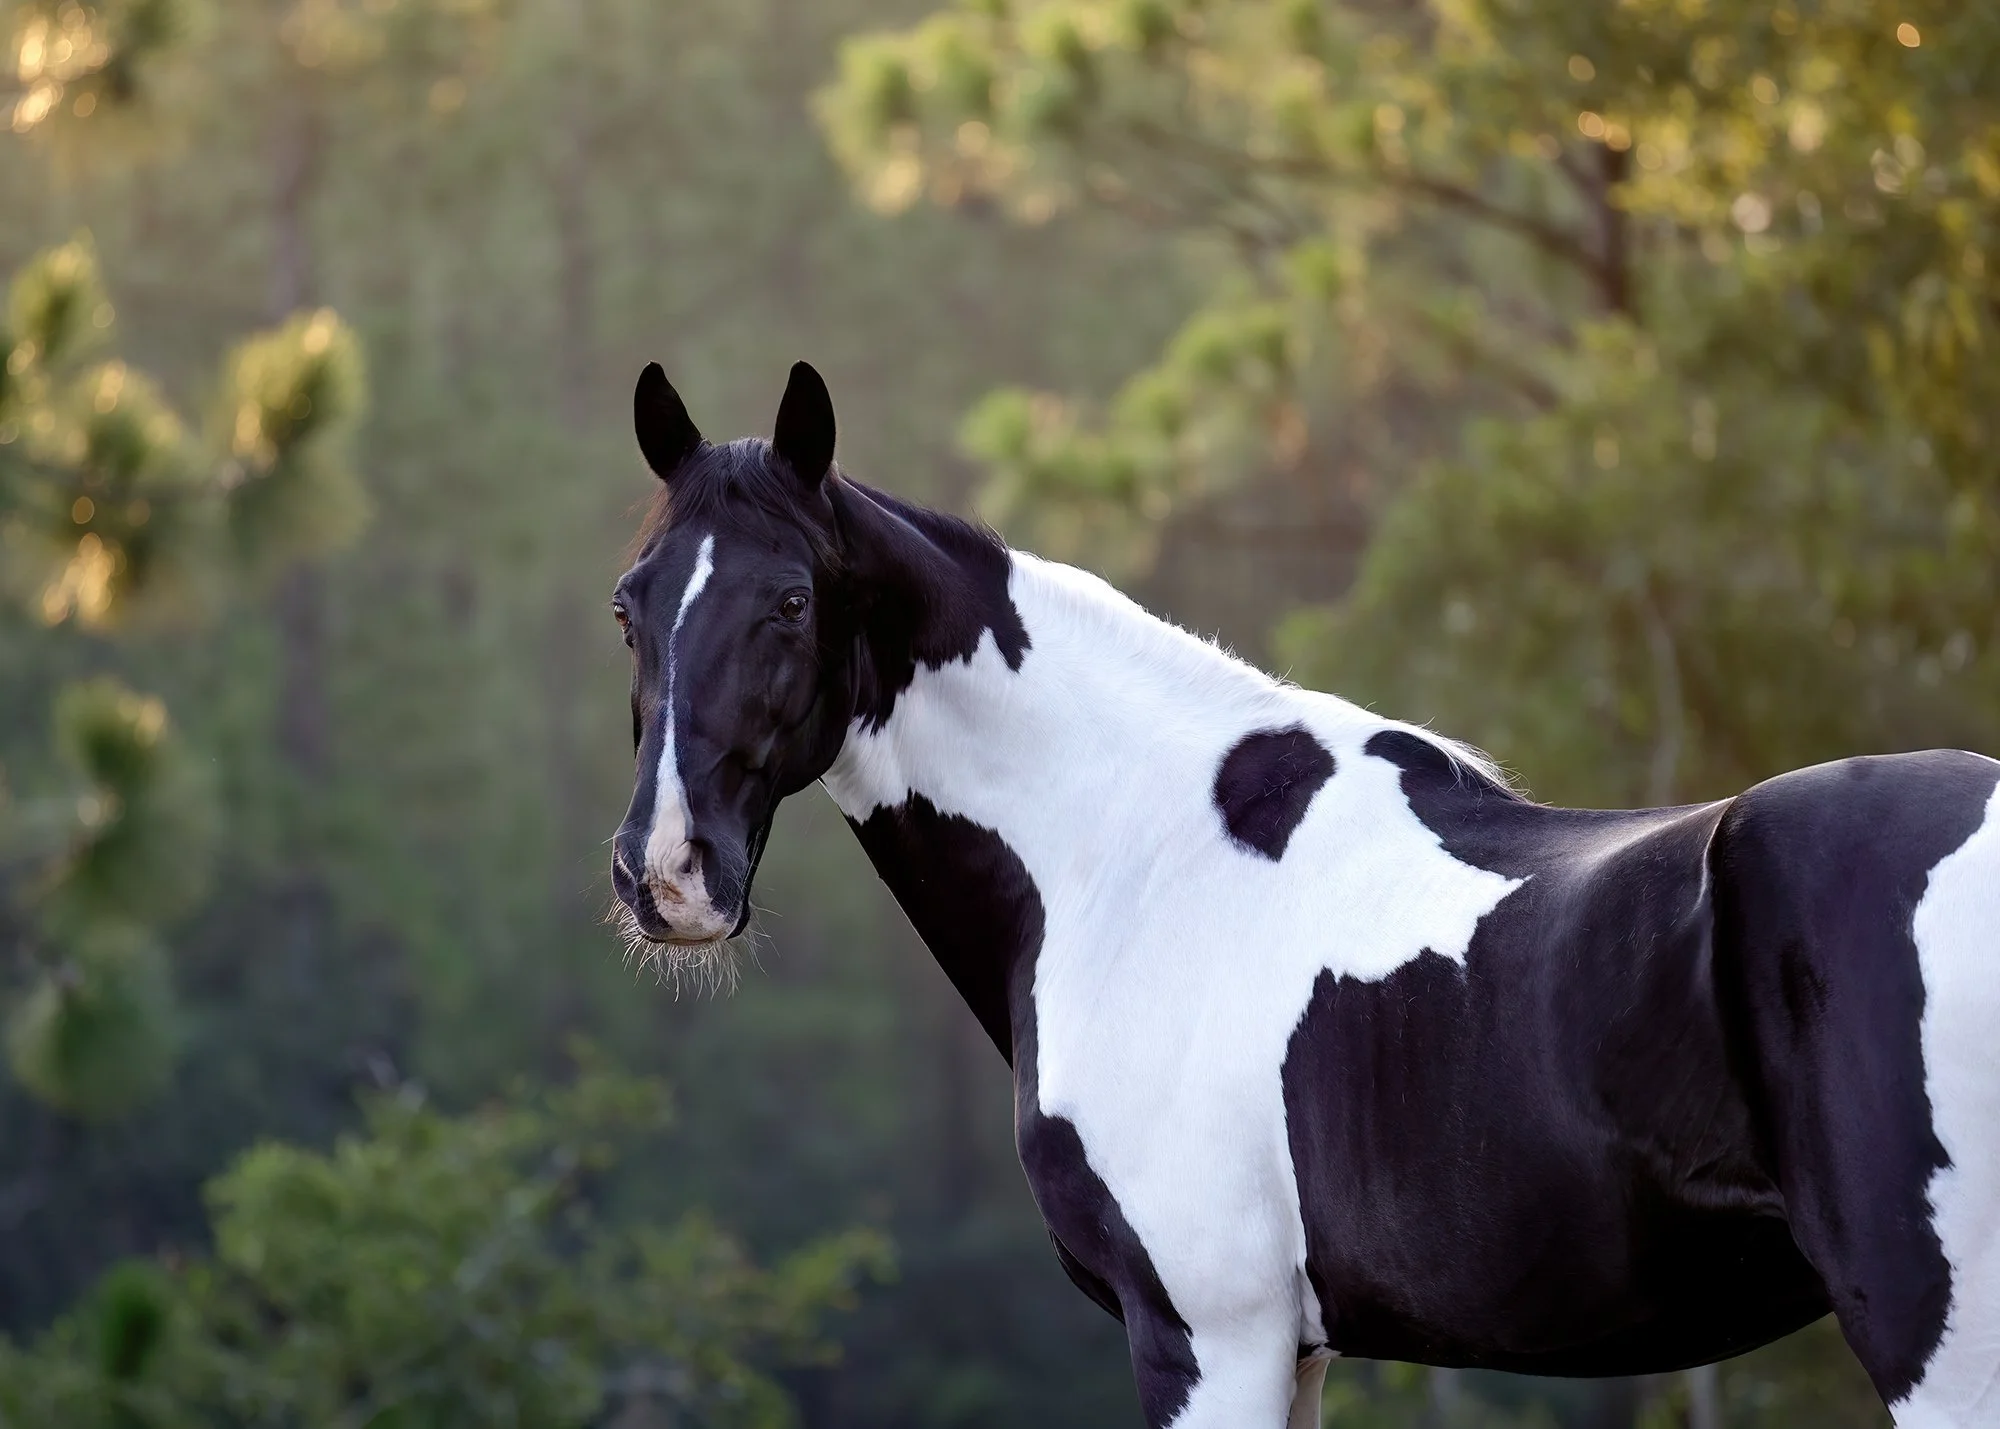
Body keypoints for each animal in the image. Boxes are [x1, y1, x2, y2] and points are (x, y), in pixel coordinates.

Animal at [606, 360, 2000, 1429]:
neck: (1129, 850)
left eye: (790, 600)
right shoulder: (1292, 1349)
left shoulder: (1205, 1336)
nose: (666, 872)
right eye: (629, 606)